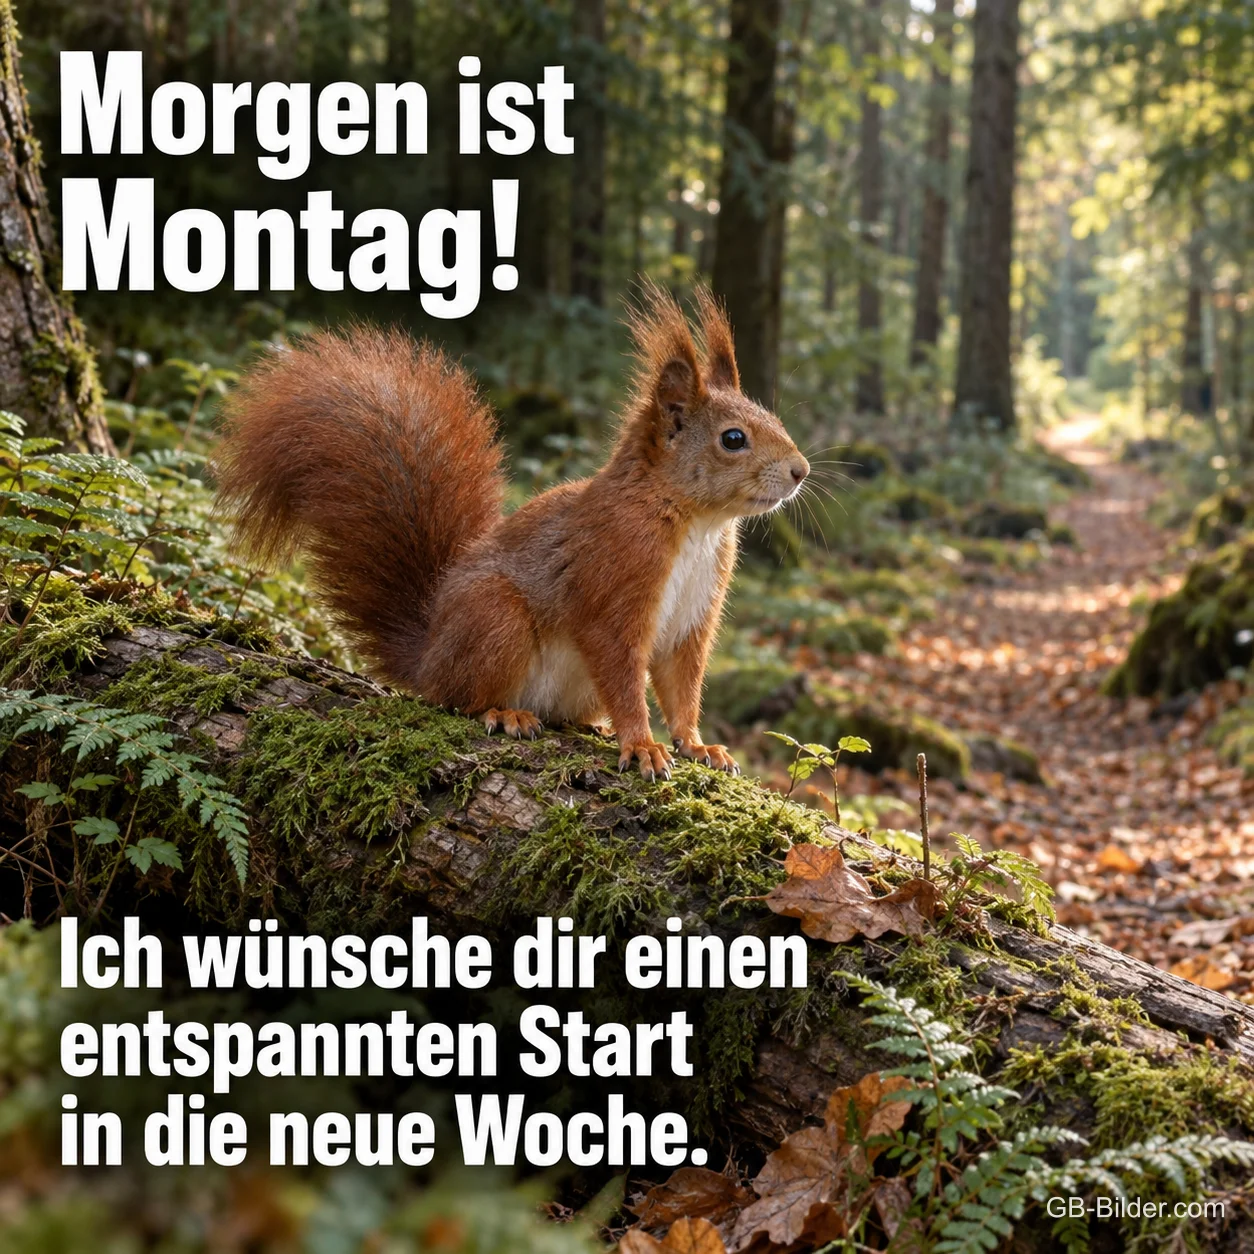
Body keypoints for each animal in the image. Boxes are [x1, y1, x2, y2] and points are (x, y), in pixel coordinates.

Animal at [213, 283, 809, 781]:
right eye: (733, 438)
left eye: (772, 418)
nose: (801, 470)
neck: (697, 523)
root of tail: (427, 658)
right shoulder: (613, 584)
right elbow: (622, 673)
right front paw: (641, 746)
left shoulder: (694, 617)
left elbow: (682, 686)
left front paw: (698, 745)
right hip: (495, 620)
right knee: (455, 698)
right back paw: (504, 713)